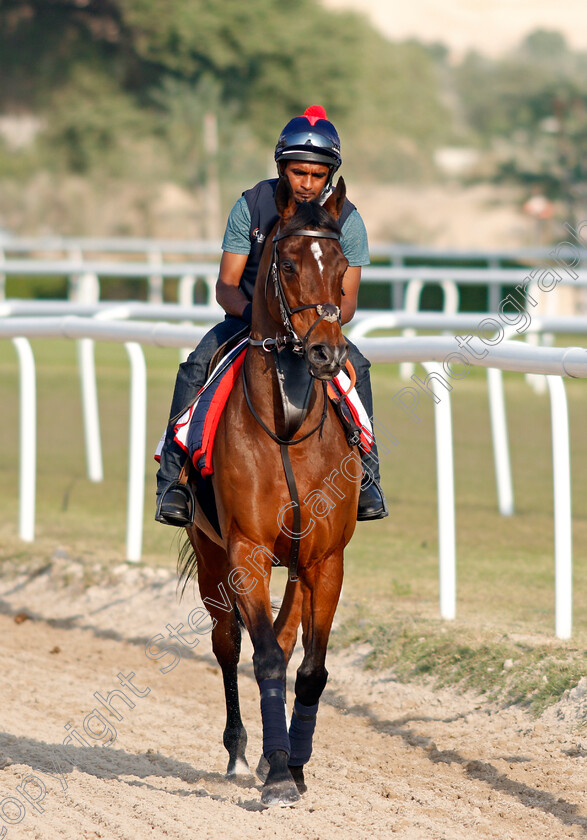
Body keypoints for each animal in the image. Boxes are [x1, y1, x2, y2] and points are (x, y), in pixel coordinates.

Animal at [181, 172, 360, 808]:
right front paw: (279, 771)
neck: (287, 427)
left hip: (297, 564)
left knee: (284, 638)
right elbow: (262, 658)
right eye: (285, 264)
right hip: (211, 553)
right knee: (227, 642)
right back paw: (240, 751)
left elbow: (309, 667)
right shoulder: (247, 551)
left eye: (341, 264)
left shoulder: (325, 558)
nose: (327, 352)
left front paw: (295, 764)